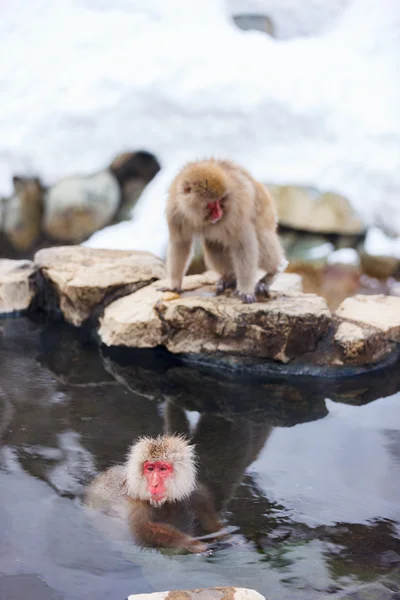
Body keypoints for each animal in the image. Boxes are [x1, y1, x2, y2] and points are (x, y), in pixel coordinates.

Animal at [85, 436, 222, 552]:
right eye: (150, 469)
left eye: (162, 469)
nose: (154, 484)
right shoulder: (135, 502)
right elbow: (141, 531)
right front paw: (192, 543)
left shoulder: (199, 494)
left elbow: (214, 527)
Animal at [163, 158, 288, 302]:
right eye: (211, 204)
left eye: (221, 201)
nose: (219, 213)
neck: (195, 214)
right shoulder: (175, 212)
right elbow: (180, 243)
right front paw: (174, 284)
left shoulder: (236, 211)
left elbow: (244, 244)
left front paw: (245, 289)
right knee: (213, 243)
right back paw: (229, 278)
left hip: (265, 210)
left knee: (261, 239)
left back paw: (275, 270)